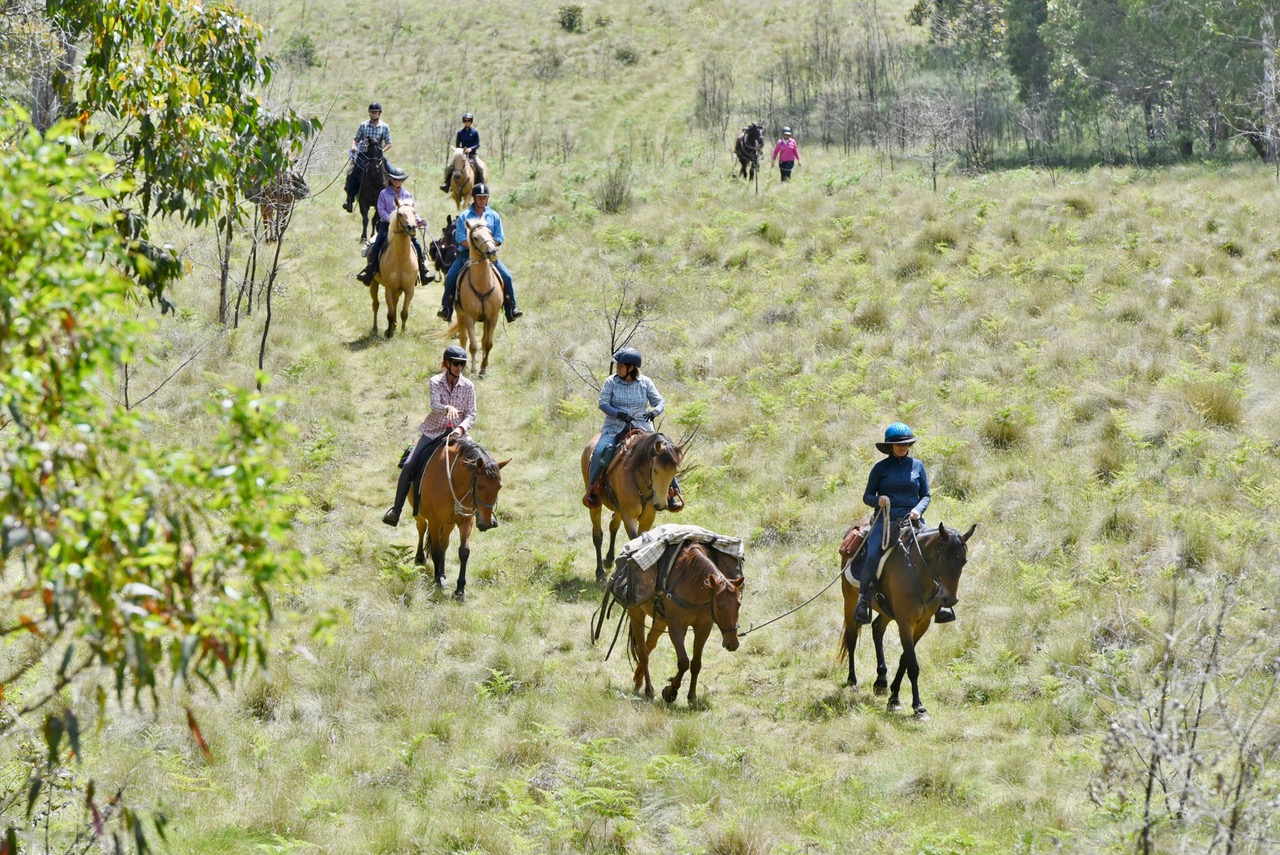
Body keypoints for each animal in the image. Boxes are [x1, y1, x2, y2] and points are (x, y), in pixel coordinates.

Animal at [368, 199, 417, 337]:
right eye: (400, 214)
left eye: (414, 212)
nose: (412, 227)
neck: (401, 259)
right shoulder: (389, 288)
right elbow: (389, 313)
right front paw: (389, 332)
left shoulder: (409, 289)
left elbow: (404, 313)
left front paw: (402, 332)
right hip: (374, 283)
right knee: (375, 304)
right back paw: (375, 329)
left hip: (398, 289)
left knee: (395, 302)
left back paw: (394, 326)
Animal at [412, 435, 506, 601]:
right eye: (480, 485)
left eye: (499, 487)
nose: (487, 524)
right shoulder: (435, 522)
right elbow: (436, 551)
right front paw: (438, 581)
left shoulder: (466, 521)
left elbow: (463, 552)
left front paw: (460, 590)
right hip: (420, 514)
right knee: (422, 528)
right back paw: (420, 558)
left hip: (449, 523)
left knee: (444, 543)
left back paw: (442, 572)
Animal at [437, 218, 501, 376]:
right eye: (475, 237)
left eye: (490, 232)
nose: (492, 251)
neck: (483, 285)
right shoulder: (469, 317)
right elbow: (473, 345)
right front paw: (472, 369)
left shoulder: (493, 317)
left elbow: (488, 344)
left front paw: (483, 368)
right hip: (461, 316)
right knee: (464, 339)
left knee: (483, 340)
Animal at [581, 430, 686, 583]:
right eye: (655, 470)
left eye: (675, 472)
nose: (660, 504)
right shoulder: (629, 517)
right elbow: (634, 541)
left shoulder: (647, 518)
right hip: (595, 505)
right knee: (598, 535)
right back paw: (600, 572)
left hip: (619, 509)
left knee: (613, 526)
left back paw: (609, 560)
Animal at [834, 522, 972, 721]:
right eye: (943, 558)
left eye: (963, 561)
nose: (949, 600)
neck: (917, 570)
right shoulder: (905, 623)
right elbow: (912, 665)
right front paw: (919, 707)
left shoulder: (922, 623)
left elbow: (905, 659)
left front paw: (894, 699)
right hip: (850, 599)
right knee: (851, 638)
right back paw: (852, 681)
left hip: (887, 611)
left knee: (877, 629)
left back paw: (881, 681)